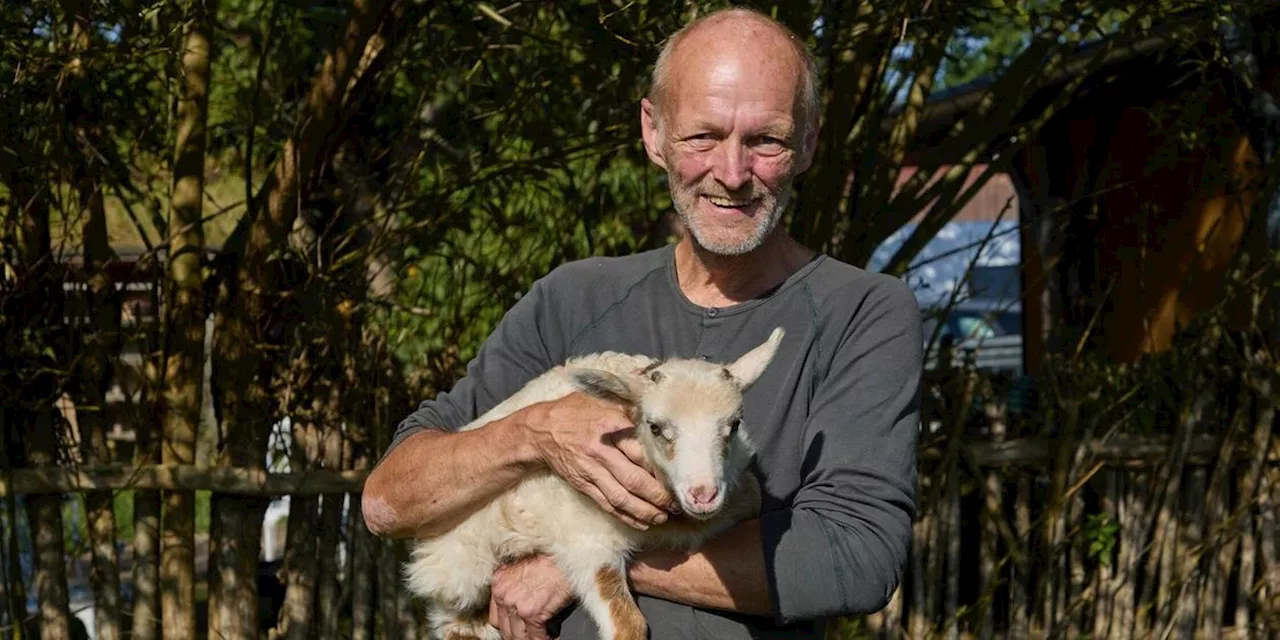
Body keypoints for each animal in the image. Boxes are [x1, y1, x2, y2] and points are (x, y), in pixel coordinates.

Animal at [404, 327, 783, 640]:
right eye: (655, 427)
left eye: (734, 425)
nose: (703, 494)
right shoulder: (587, 542)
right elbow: (628, 626)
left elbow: (751, 494)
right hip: (460, 573)